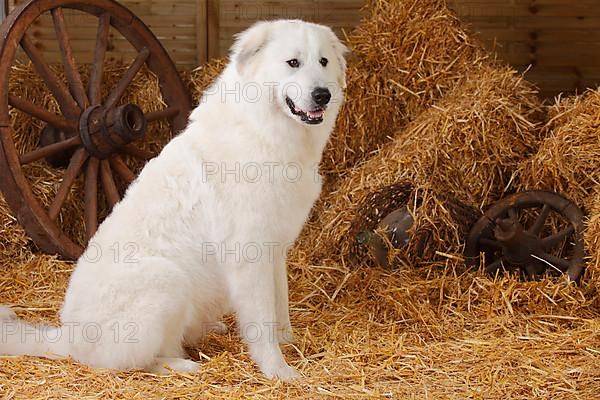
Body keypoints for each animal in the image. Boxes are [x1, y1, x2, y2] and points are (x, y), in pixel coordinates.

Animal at [0, 19, 346, 382]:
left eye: (323, 61)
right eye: (293, 63)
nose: (323, 94)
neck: (263, 129)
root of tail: (68, 338)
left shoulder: (275, 249)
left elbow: (280, 305)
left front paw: (288, 341)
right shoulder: (249, 254)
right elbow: (261, 321)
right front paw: (278, 370)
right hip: (166, 279)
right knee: (139, 362)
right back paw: (182, 364)